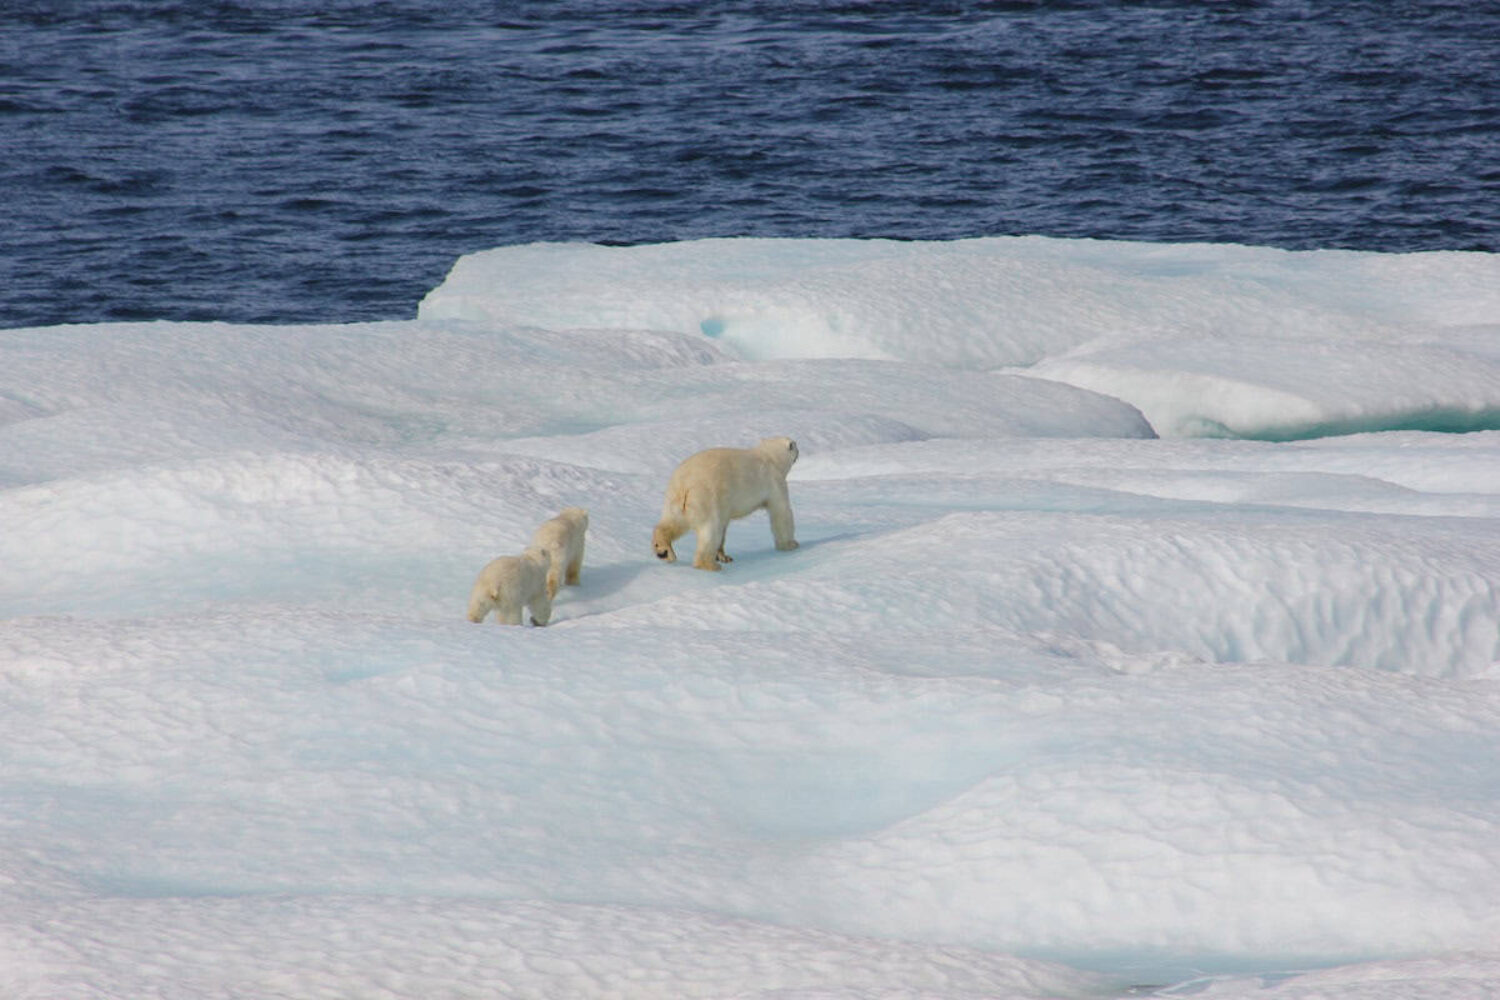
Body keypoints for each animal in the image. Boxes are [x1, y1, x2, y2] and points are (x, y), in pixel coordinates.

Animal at [654, 434, 804, 569]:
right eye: (795, 445)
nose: (799, 450)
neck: (769, 457)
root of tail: (684, 483)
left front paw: (723, 556)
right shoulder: (774, 482)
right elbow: (781, 513)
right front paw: (791, 544)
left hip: (674, 499)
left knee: (672, 522)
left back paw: (663, 550)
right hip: (706, 497)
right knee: (710, 530)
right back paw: (710, 565)